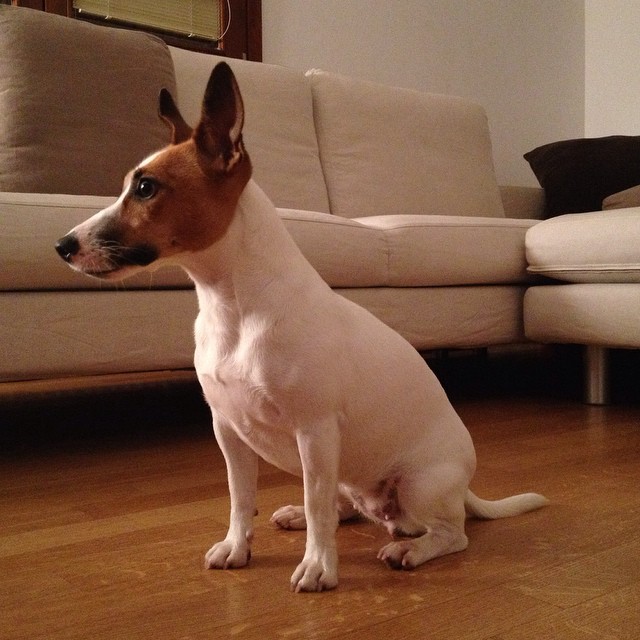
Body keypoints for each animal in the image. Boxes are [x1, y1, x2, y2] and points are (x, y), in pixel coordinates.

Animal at [55, 62, 548, 592]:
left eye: (146, 188)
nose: (62, 245)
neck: (232, 305)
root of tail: (465, 486)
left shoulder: (314, 432)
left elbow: (316, 506)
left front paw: (319, 566)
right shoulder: (227, 430)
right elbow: (240, 498)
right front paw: (237, 547)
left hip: (418, 484)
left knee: (450, 534)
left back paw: (411, 549)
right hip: (352, 474)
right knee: (347, 506)